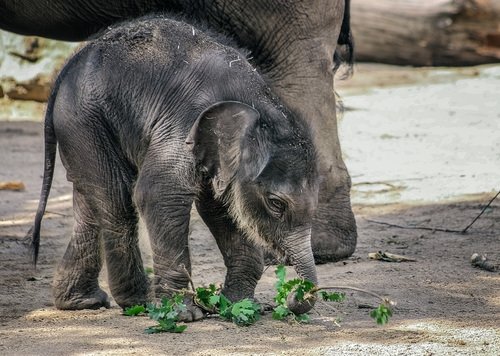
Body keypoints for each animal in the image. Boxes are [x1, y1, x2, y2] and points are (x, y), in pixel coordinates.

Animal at [29, 15, 320, 320]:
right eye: (276, 204)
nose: (291, 298)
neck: (257, 106)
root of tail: (67, 67)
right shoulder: (183, 123)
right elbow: (160, 194)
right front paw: (183, 315)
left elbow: (221, 207)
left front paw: (238, 306)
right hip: (85, 118)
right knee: (116, 200)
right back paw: (139, 302)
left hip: (80, 127)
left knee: (90, 203)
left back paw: (83, 302)